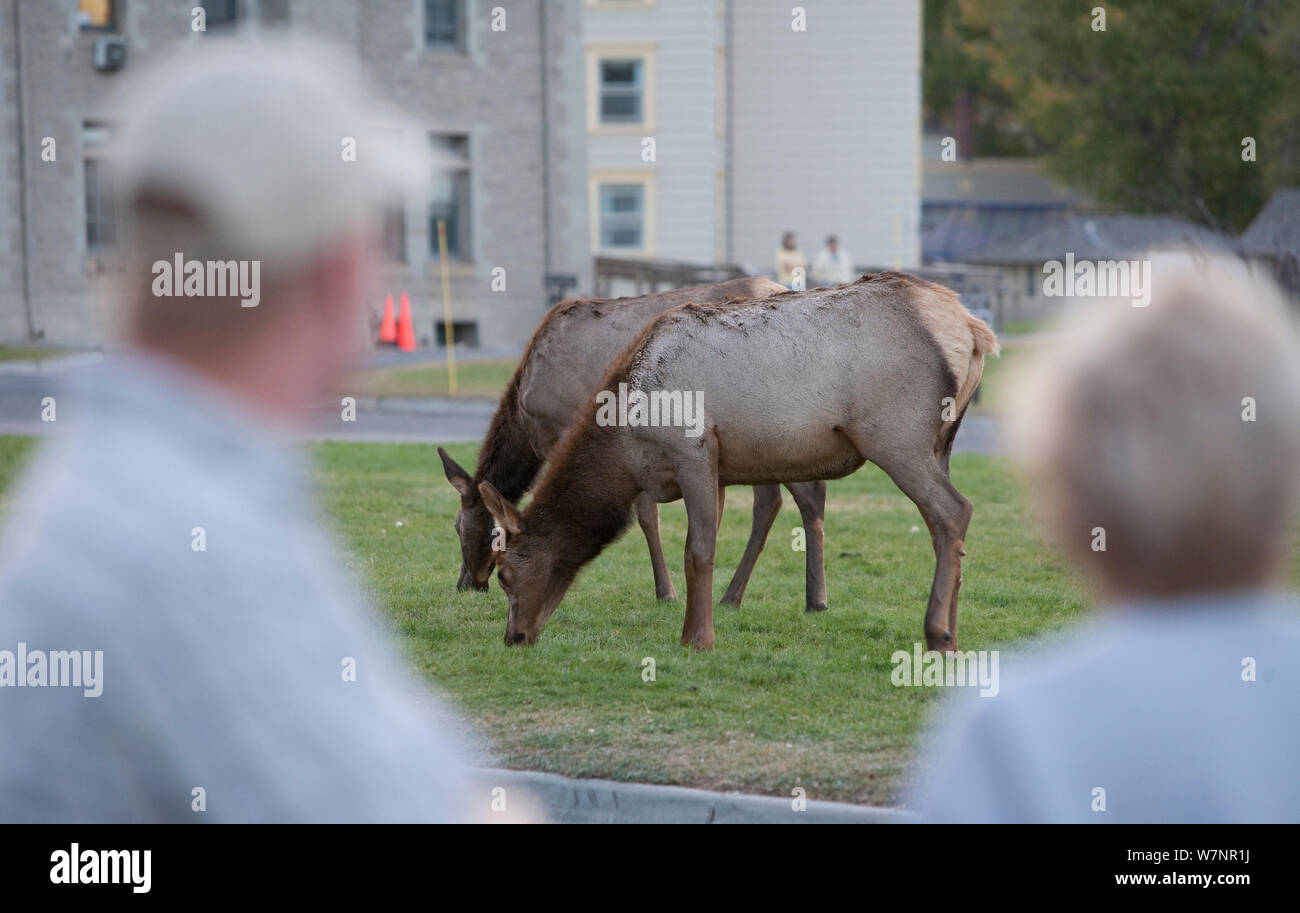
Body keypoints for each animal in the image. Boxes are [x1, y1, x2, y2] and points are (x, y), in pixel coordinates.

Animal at [439, 275, 832, 611]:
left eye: (458, 526)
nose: (465, 583)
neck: (523, 417)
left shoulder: (568, 433)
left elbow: (644, 516)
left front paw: (666, 591)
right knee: (778, 500)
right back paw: (747, 596)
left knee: (800, 496)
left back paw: (808, 598)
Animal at [483, 271, 998, 650]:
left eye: (505, 573)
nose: (514, 637)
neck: (628, 440)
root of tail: (975, 330)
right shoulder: (714, 466)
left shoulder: (693, 449)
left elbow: (698, 550)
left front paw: (696, 638)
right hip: (942, 442)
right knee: (945, 522)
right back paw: (952, 630)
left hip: (896, 436)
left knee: (954, 510)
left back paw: (938, 634)